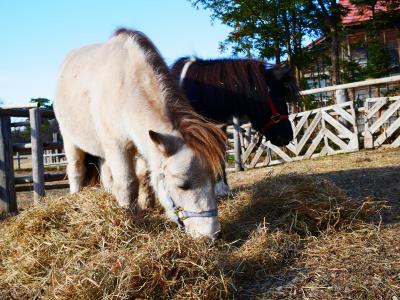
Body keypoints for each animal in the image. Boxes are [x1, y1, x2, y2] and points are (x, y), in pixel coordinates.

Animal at [54, 29, 225, 240]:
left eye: (215, 179)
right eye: (182, 185)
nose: (212, 235)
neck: (125, 87)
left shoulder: (146, 145)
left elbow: (144, 178)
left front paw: (145, 207)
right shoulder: (118, 146)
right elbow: (127, 183)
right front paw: (128, 216)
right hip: (70, 140)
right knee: (76, 170)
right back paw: (76, 195)